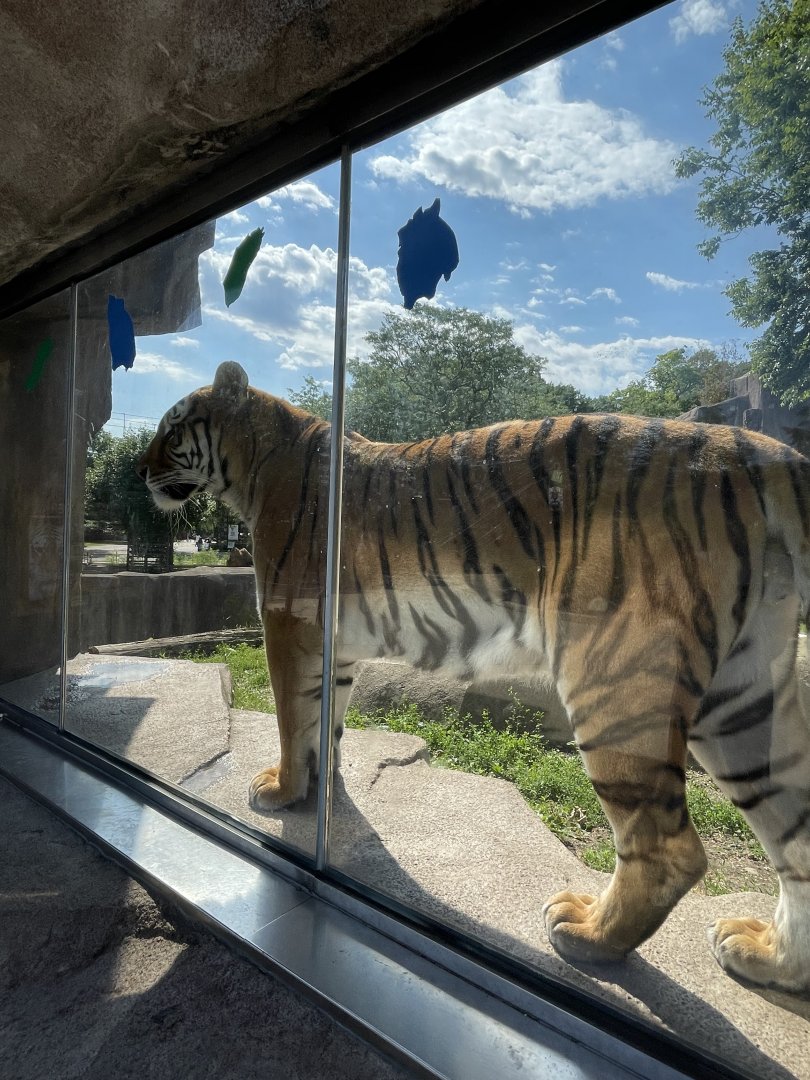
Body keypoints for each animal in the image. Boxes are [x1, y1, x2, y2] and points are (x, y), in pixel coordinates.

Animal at [138, 359, 810, 995]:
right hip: (742, 699)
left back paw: (589, 933)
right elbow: (325, 721)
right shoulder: (334, 644)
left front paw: (281, 791)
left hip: (617, 677)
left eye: (172, 430)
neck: (255, 460)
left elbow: (290, 718)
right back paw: (764, 956)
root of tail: (765, 449)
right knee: (797, 837)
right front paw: (322, 789)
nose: (139, 472)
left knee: (670, 848)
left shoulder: (287, 620)